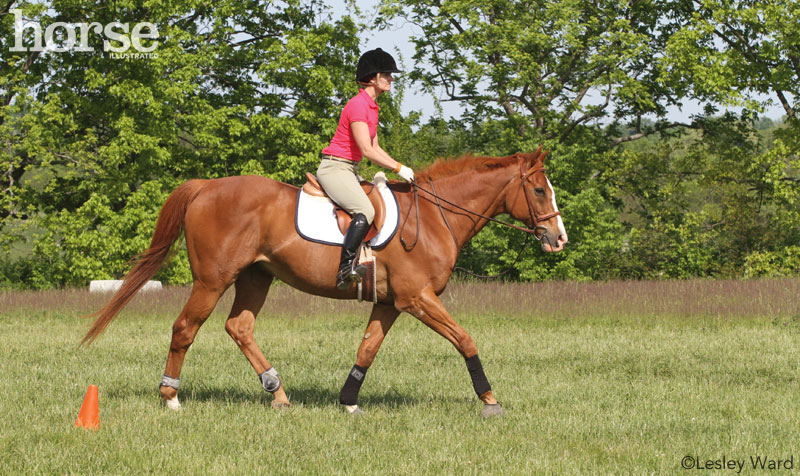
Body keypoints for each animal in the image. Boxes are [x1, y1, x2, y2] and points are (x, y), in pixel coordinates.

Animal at [84, 148, 564, 416]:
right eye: (540, 190)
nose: (558, 239)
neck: (432, 217)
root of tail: (206, 187)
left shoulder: (390, 302)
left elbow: (367, 349)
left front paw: (348, 400)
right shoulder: (417, 298)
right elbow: (465, 339)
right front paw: (490, 400)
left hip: (256, 277)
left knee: (239, 327)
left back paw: (277, 393)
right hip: (212, 279)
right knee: (186, 328)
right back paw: (170, 397)